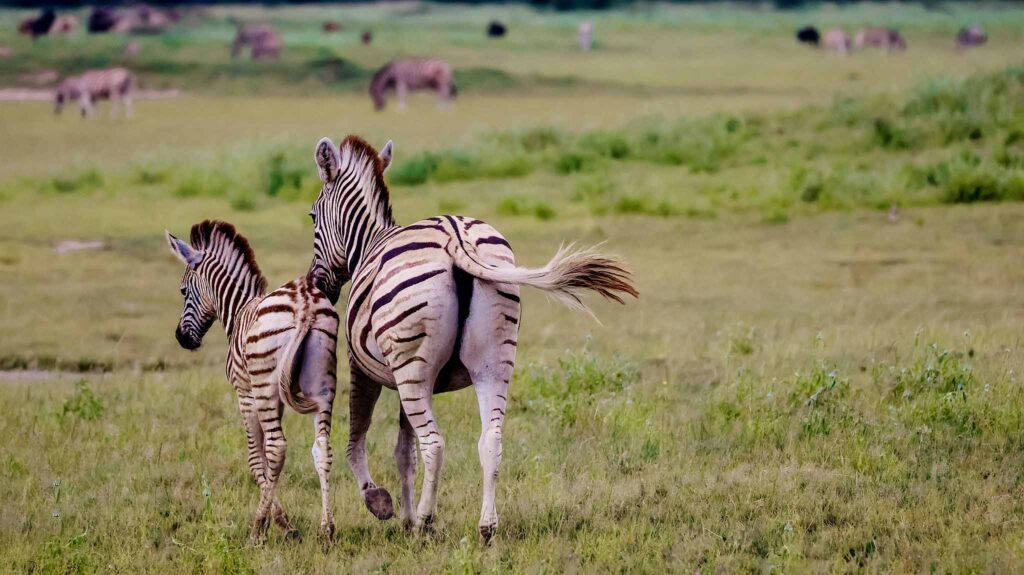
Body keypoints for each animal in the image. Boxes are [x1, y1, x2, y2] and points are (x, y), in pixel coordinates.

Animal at [165, 220, 340, 544]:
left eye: (183, 290)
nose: (181, 338)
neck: (237, 311)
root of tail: (304, 302)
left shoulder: (245, 393)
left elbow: (256, 457)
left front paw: (279, 522)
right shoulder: (277, 397)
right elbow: (266, 460)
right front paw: (280, 519)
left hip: (264, 385)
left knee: (277, 447)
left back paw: (256, 528)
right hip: (322, 383)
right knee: (322, 447)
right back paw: (327, 529)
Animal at [308, 136, 638, 540]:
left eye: (312, 217)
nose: (317, 283)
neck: (368, 243)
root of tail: (455, 237)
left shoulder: (364, 368)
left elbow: (359, 440)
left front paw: (382, 504)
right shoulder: (405, 380)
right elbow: (404, 452)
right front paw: (403, 516)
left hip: (415, 372)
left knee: (435, 445)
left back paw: (426, 522)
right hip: (492, 360)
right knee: (491, 440)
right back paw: (485, 526)